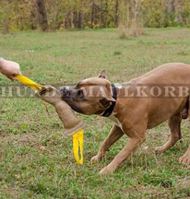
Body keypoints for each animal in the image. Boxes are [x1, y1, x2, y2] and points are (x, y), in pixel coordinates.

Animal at [43, 63, 190, 175]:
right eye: (77, 84)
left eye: (81, 94)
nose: (63, 89)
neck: (117, 97)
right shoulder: (118, 128)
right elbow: (106, 143)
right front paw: (98, 158)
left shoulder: (137, 138)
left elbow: (121, 154)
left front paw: (108, 170)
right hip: (174, 114)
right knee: (175, 135)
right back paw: (161, 149)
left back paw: (185, 158)